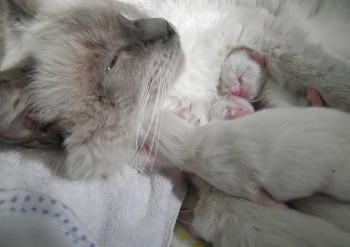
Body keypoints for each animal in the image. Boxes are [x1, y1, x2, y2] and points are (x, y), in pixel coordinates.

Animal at [2, 0, 350, 246]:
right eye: (113, 63)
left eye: (125, 21)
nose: (166, 27)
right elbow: (222, 202)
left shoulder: (255, 29)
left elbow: (325, 76)